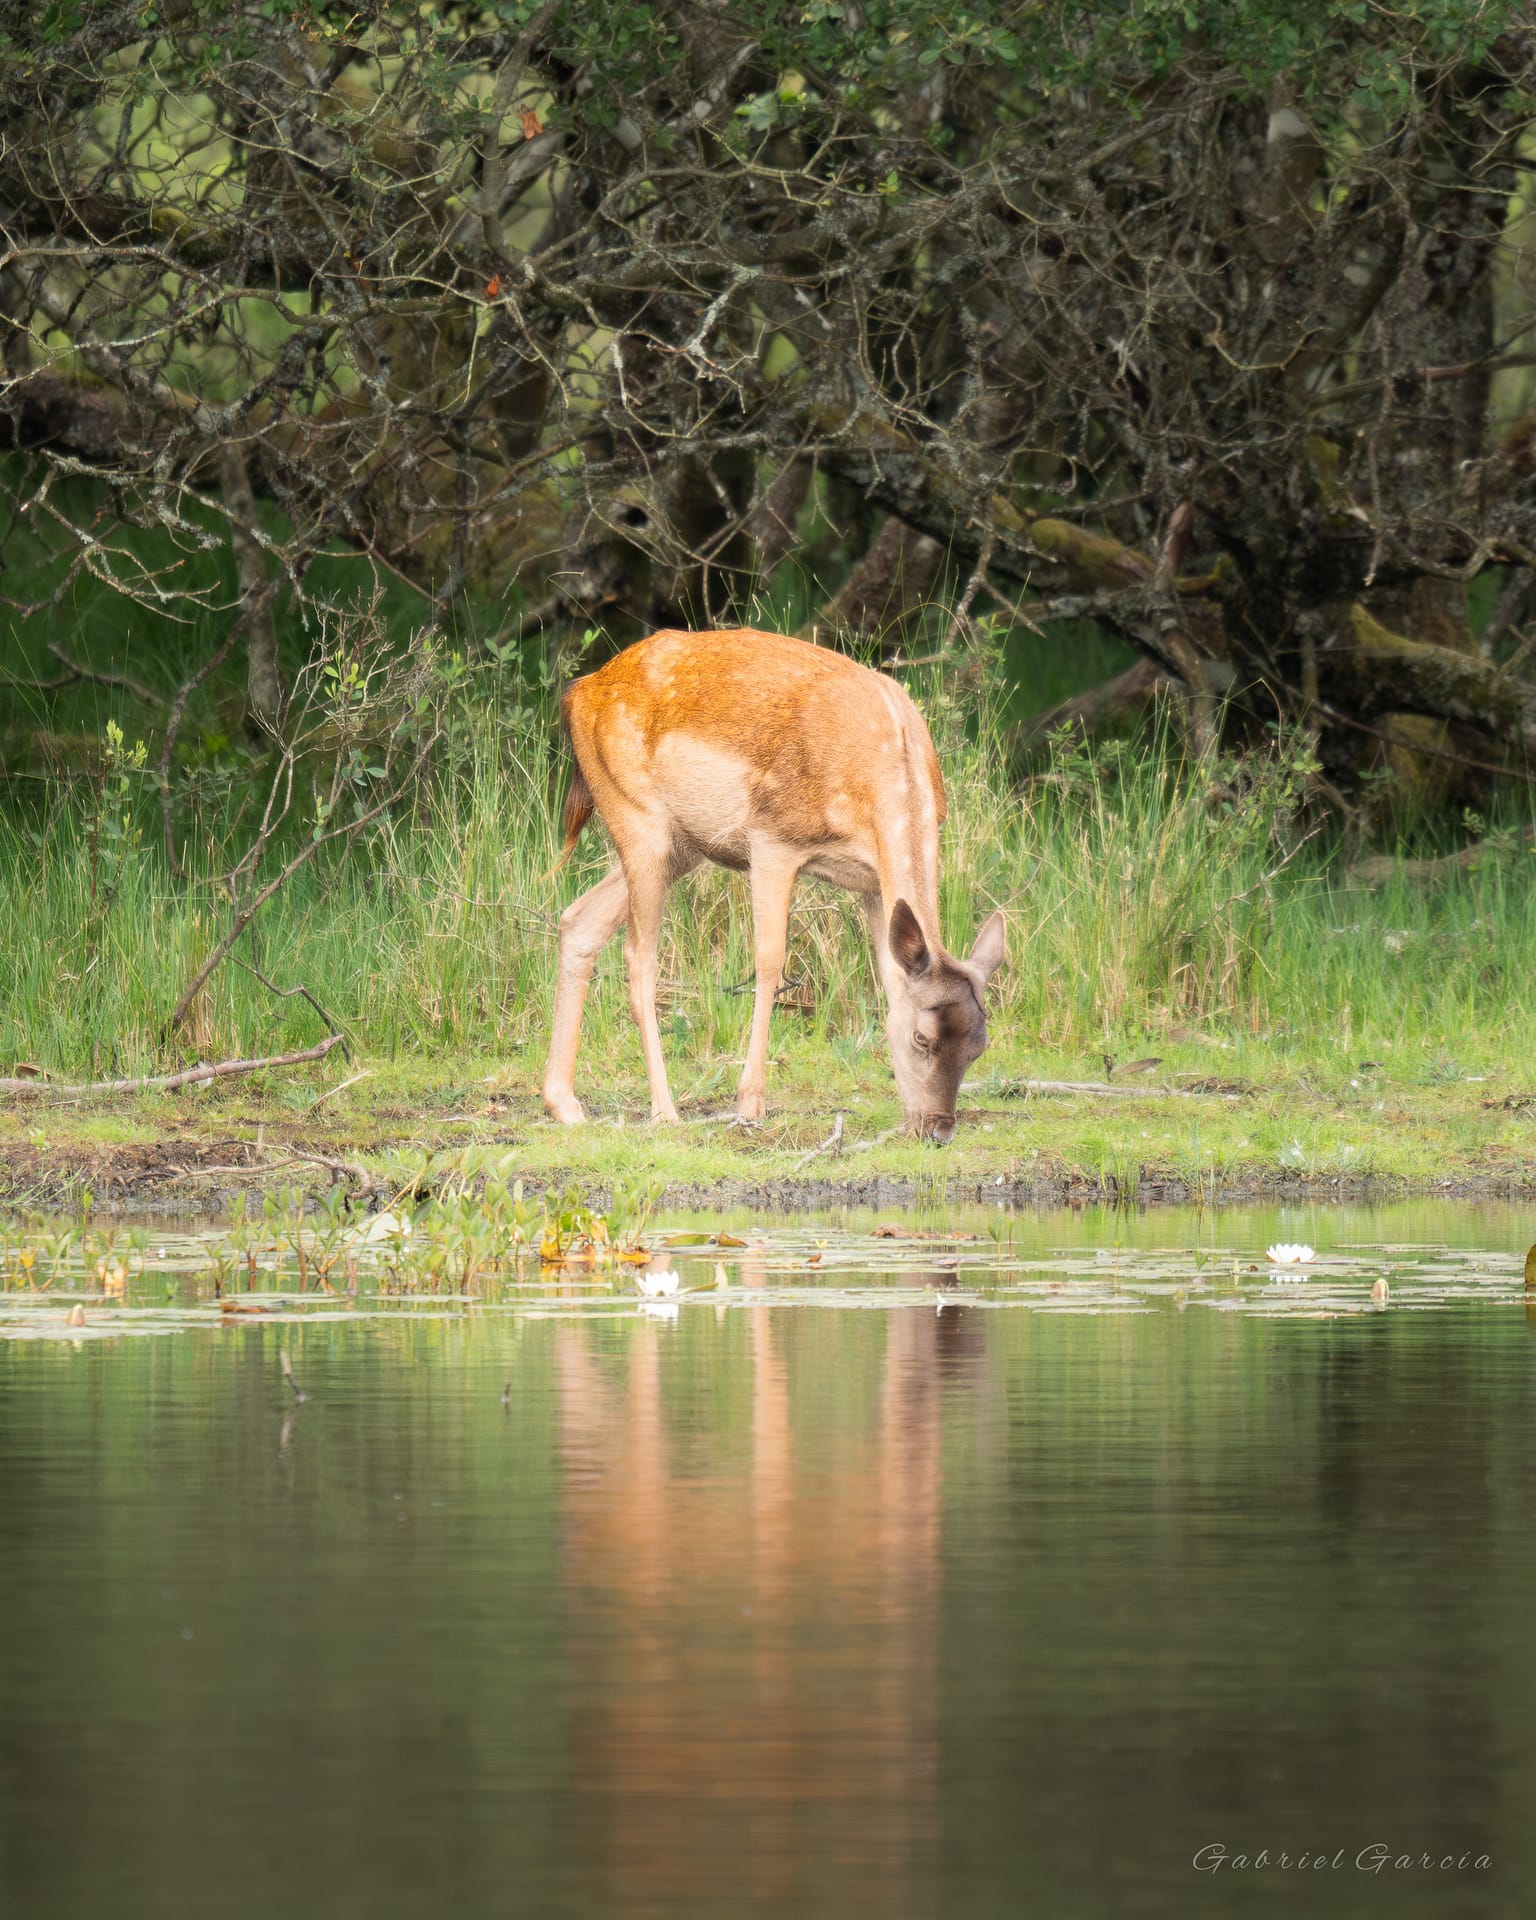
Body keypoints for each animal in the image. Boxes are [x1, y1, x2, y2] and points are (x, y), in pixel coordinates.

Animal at [541, 627, 1006, 1143]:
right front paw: (750, 1102)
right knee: (639, 955)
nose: (938, 1130)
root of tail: (579, 691)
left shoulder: (871, 883)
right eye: (922, 1037)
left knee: (578, 918)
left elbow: (885, 976)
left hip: (681, 846)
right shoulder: (773, 840)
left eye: (979, 1046)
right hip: (636, 816)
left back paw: (564, 1103)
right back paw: (664, 1110)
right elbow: (769, 962)